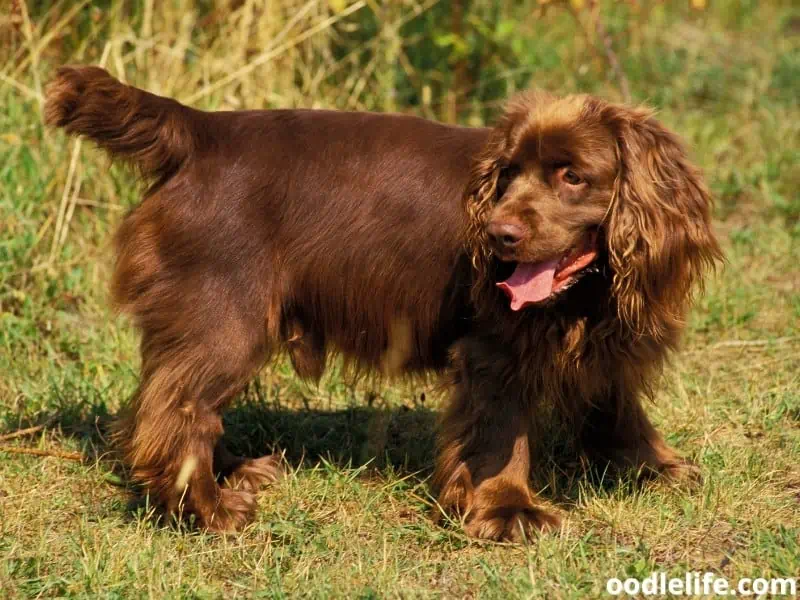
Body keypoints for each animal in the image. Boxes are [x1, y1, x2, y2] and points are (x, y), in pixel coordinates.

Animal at [43, 68, 720, 540]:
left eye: (572, 176)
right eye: (507, 173)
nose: (498, 234)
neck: (592, 292)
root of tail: (203, 129)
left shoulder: (609, 340)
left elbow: (615, 404)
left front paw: (652, 467)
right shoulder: (496, 346)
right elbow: (501, 431)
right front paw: (508, 510)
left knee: (167, 399)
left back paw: (234, 471)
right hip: (225, 311)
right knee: (180, 411)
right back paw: (209, 508)